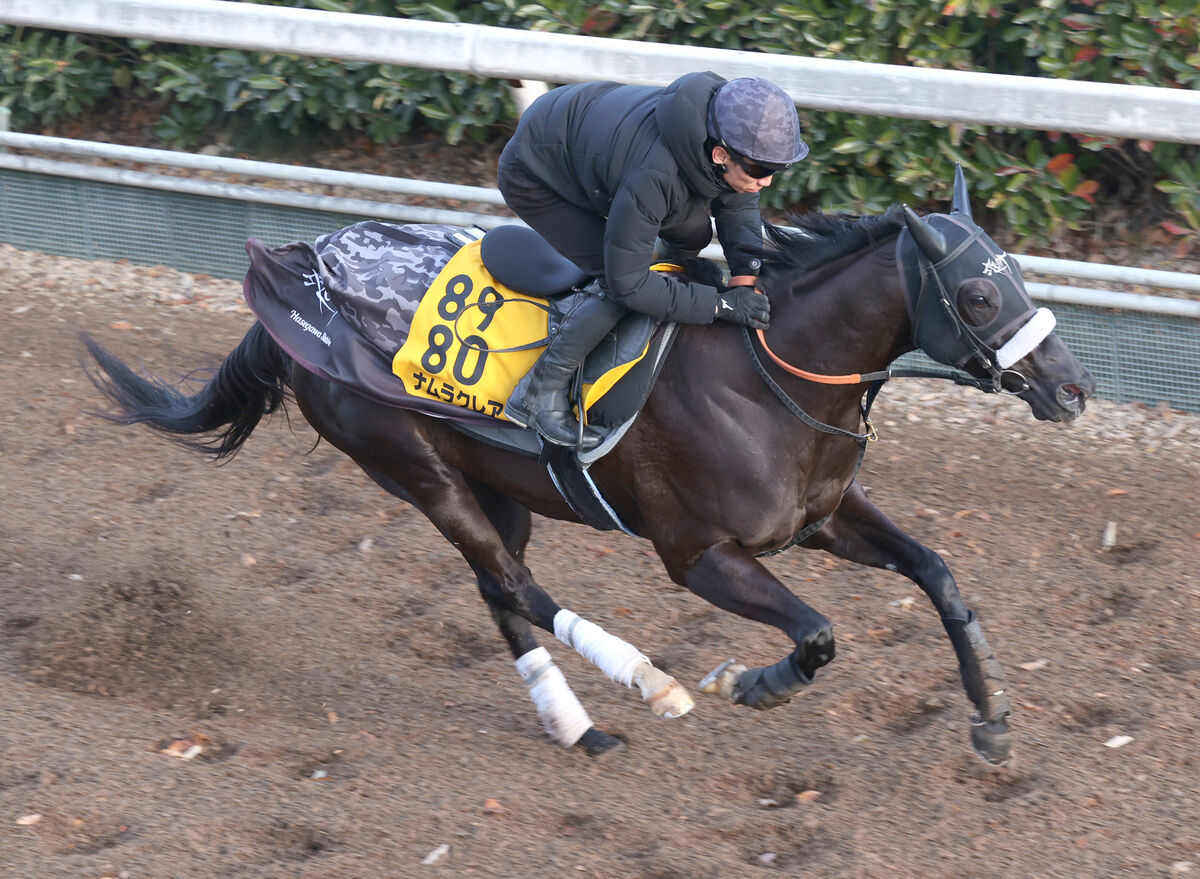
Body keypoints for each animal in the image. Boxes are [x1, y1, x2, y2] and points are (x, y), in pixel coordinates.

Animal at [82, 168, 1099, 763]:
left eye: (1020, 276)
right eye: (978, 295)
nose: (1075, 387)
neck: (768, 370)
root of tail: (293, 284)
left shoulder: (819, 516)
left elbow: (940, 572)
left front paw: (993, 716)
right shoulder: (698, 553)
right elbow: (816, 634)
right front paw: (749, 683)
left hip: (497, 483)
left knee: (500, 586)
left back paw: (577, 725)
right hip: (409, 463)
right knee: (515, 585)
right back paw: (651, 684)